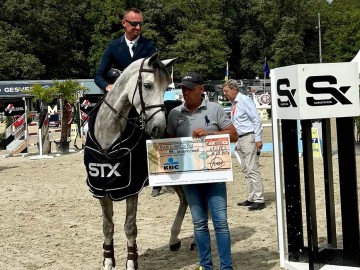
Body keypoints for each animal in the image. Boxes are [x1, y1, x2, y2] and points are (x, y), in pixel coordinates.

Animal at [82, 53, 187, 270]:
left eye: (166, 87)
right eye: (147, 85)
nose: (157, 128)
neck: (109, 137)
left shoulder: (131, 188)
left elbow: (130, 226)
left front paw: (131, 262)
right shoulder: (101, 188)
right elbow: (107, 226)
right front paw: (108, 260)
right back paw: (174, 240)